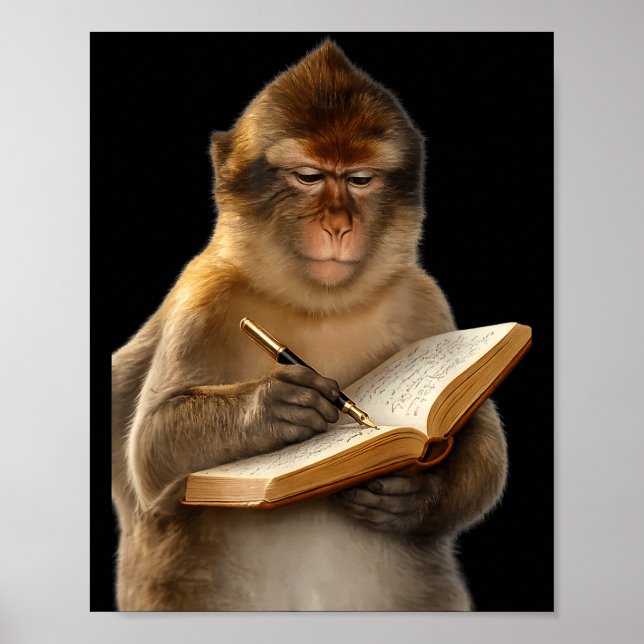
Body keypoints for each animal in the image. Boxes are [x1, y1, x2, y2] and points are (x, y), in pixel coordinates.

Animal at [111, 40, 508, 611]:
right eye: (309, 177)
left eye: (360, 179)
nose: (339, 225)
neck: (319, 305)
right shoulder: (202, 296)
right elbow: (149, 453)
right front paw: (277, 404)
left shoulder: (422, 299)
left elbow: (480, 440)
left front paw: (415, 495)